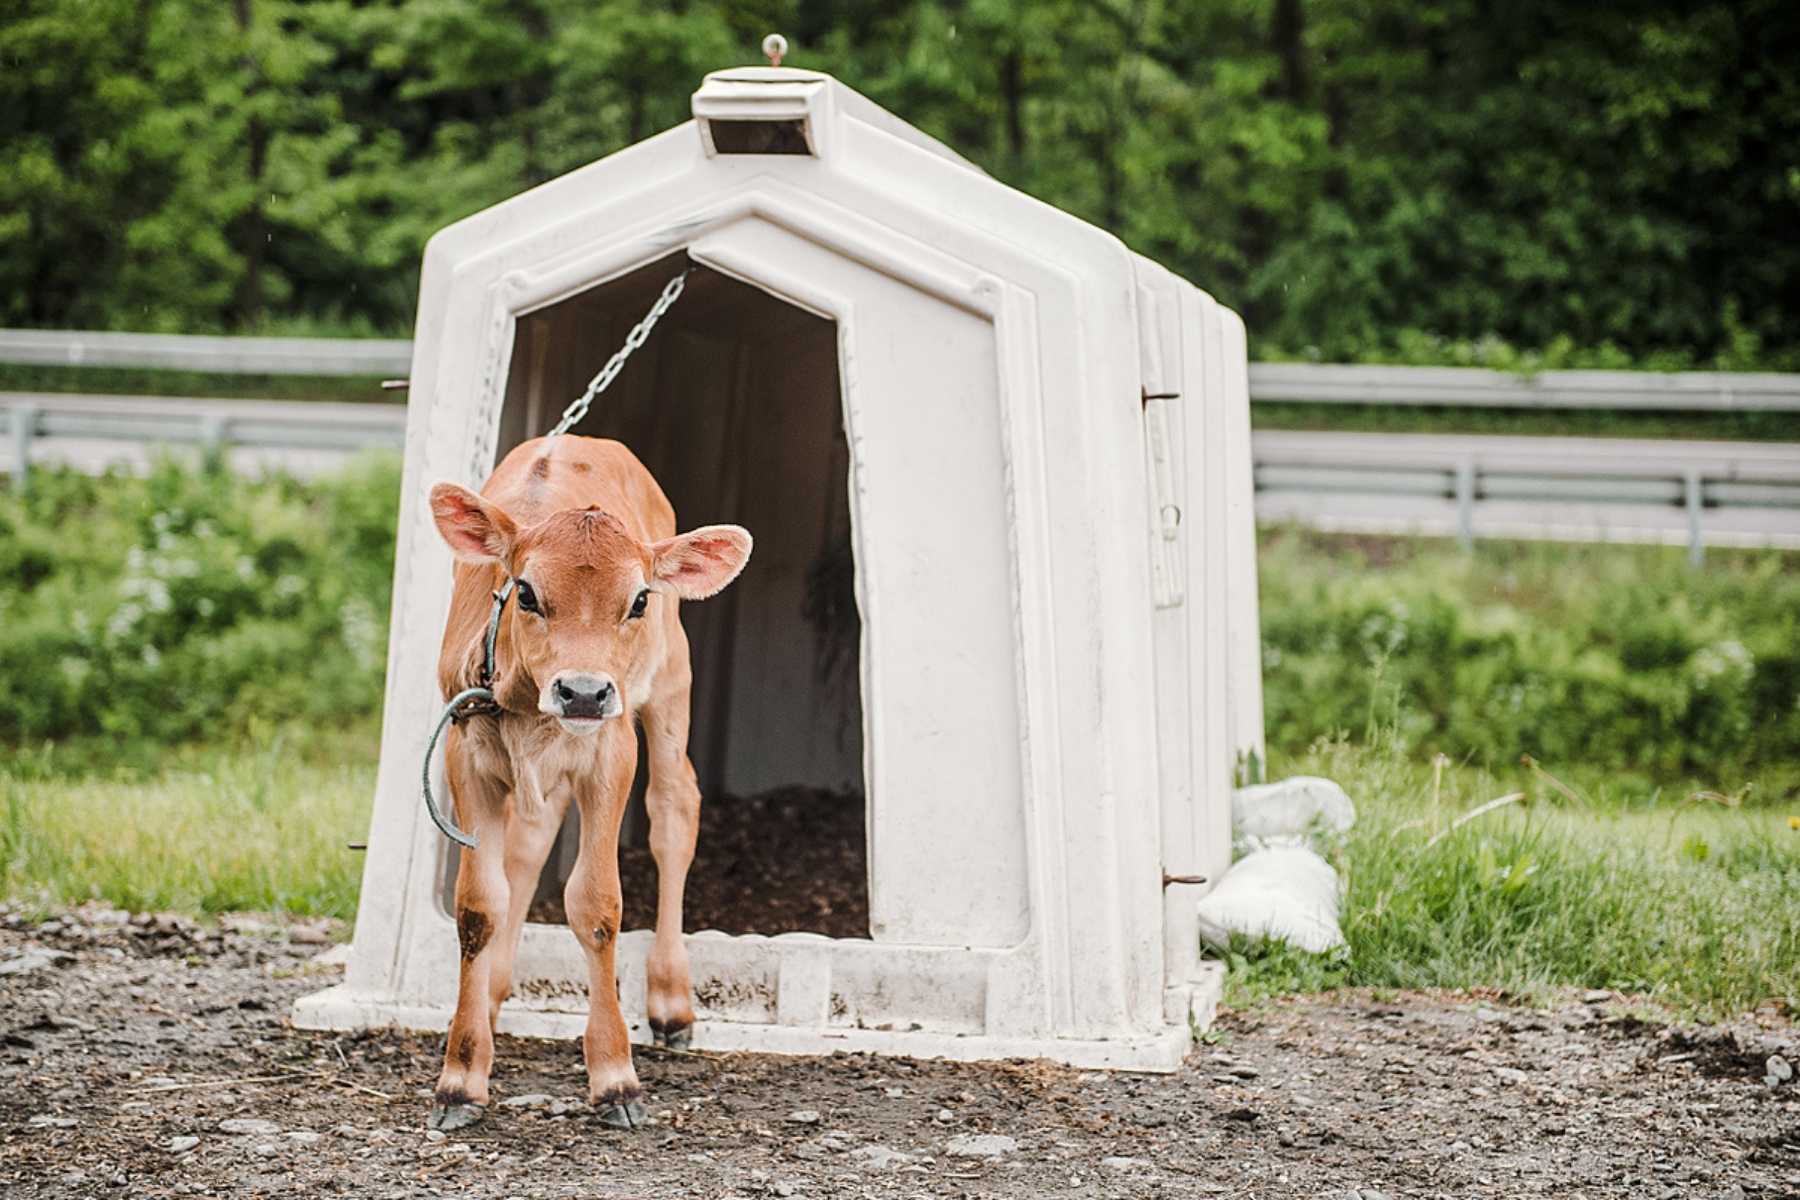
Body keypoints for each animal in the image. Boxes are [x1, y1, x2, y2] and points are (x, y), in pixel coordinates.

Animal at [428, 437, 752, 1129]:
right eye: (524, 592)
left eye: (638, 600)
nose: (582, 691)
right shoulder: (466, 751)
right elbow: (479, 906)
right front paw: (462, 1075)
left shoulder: (611, 752)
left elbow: (597, 904)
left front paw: (615, 1078)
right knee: (529, 844)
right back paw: (493, 995)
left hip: (671, 684)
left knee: (673, 809)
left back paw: (670, 1000)